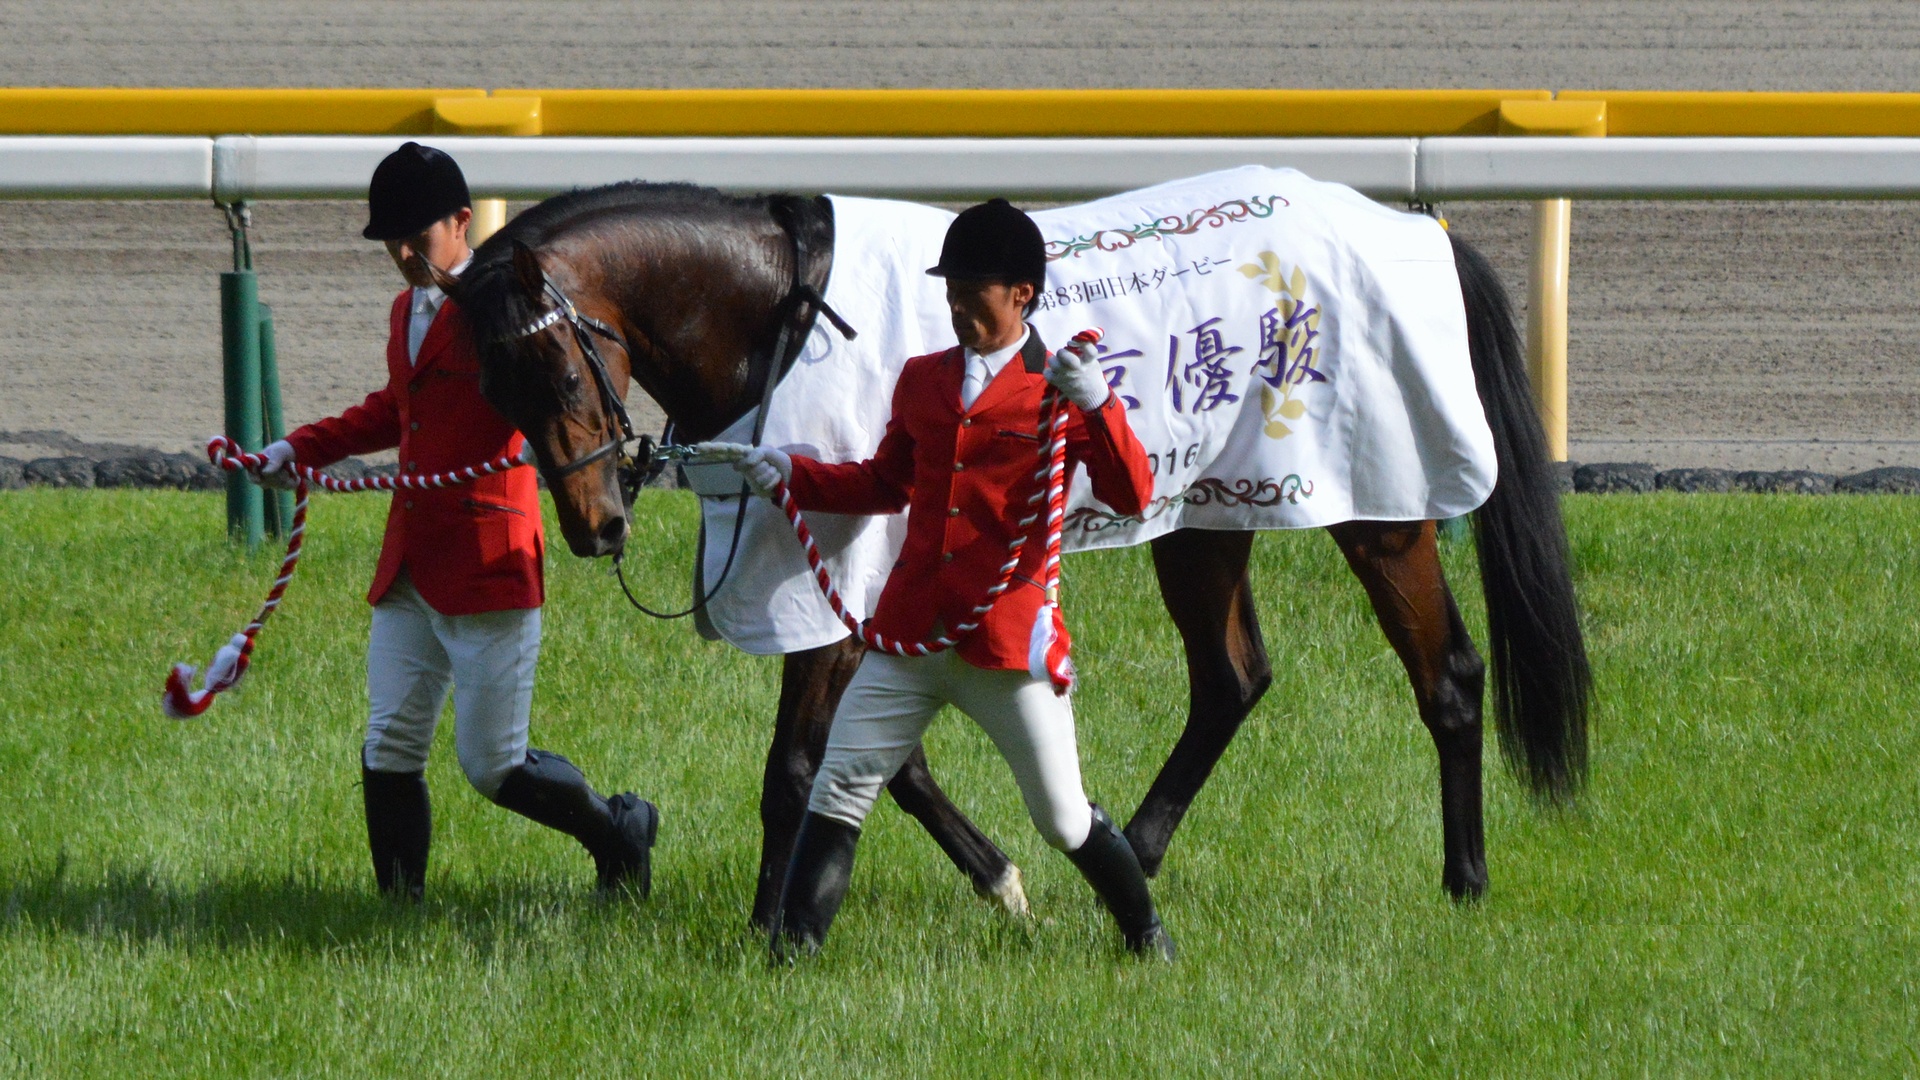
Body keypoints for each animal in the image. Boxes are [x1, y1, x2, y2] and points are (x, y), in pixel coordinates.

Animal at [449, 180, 1589, 922]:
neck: (786, 310)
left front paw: (773, 918)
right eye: (495, 388)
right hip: (1203, 519)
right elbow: (894, 762)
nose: (597, 524)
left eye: (559, 373)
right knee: (1231, 678)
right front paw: (999, 875)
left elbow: (798, 764)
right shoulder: (871, 595)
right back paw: (1138, 851)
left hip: (1377, 511)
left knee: (1447, 674)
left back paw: (1464, 880)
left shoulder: (841, 584)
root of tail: (1415, 229)